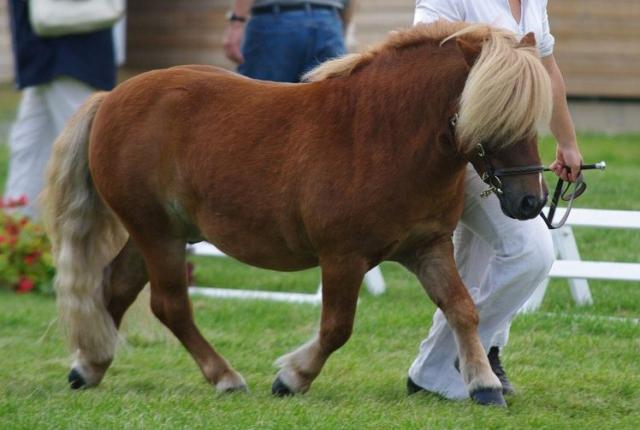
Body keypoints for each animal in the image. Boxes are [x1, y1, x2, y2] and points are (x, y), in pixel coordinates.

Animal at [43, 21, 552, 406]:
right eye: (492, 115)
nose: (530, 202)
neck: (381, 134)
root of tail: (110, 97)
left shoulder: (427, 248)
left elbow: (462, 308)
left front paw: (484, 383)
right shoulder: (343, 258)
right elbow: (337, 328)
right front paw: (293, 377)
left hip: (156, 232)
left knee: (116, 288)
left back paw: (89, 367)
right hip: (157, 234)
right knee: (170, 305)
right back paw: (224, 377)